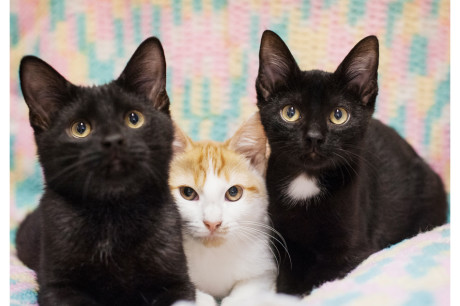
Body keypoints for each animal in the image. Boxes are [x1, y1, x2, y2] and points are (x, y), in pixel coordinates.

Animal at [16, 37, 195, 304]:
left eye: (134, 118)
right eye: (80, 128)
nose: (113, 140)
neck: (113, 215)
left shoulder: (178, 282)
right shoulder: (58, 286)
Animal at [255, 29, 446, 296]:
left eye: (339, 115)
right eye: (290, 113)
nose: (314, 137)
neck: (306, 181)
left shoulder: (352, 251)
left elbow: (320, 280)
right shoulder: (285, 244)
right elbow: (287, 280)